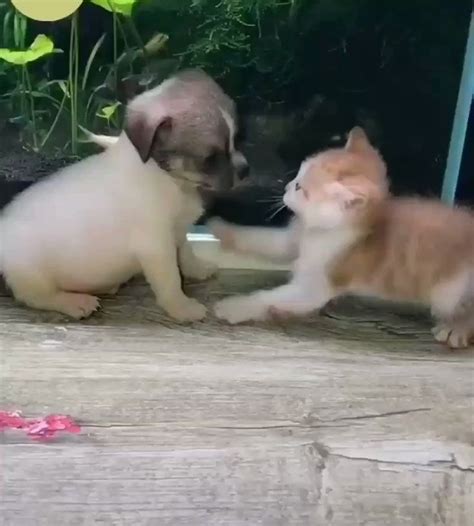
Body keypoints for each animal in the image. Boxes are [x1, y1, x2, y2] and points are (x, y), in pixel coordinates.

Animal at [0, 70, 250, 322]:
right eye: (210, 158)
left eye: (237, 139)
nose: (245, 170)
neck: (171, 180)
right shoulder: (157, 248)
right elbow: (170, 281)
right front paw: (182, 307)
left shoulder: (178, 231)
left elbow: (186, 253)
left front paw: (197, 270)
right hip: (33, 276)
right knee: (38, 297)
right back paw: (75, 302)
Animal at [211, 128, 474, 350]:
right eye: (296, 176)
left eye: (299, 187)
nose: (285, 187)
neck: (320, 233)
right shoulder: (292, 240)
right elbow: (261, 239)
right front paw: (222, 228)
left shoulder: (313, 287)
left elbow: (268, 298)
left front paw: (234, 306)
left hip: (451, 291)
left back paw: (456, 329)